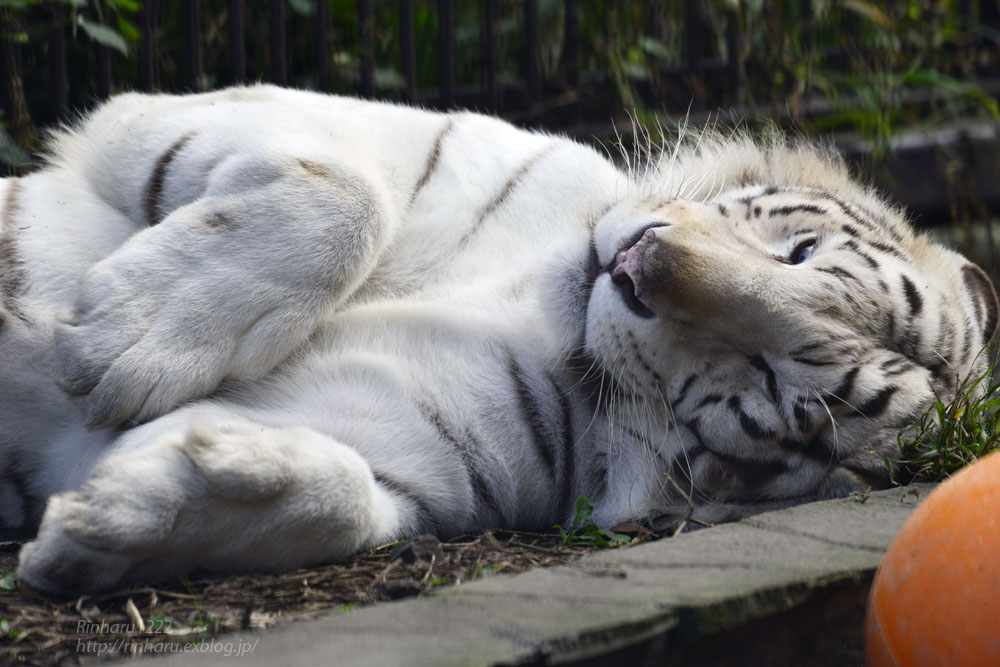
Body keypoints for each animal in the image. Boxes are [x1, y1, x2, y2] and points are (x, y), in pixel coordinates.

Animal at [0, 85, 996, 596]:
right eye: (801, 252)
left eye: (778, 387)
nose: (638, 267)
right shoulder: (197, 112)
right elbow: (350, 190)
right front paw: (127, 337)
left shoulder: (414, 460)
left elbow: (347, 496)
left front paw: (110, 525)